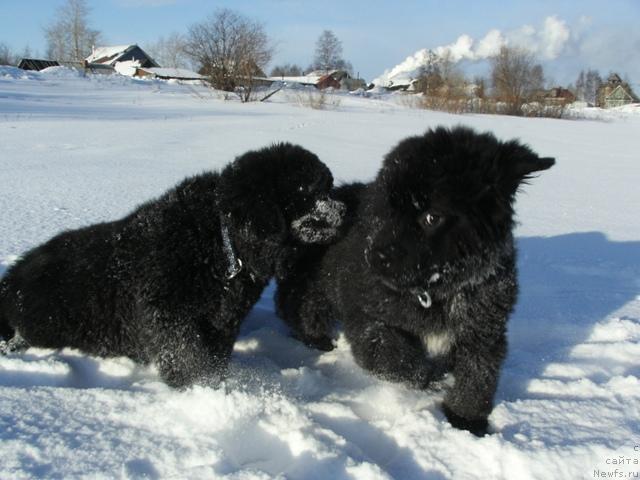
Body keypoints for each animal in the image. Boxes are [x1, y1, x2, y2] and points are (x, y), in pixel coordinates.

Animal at [0, 142, 344, 386]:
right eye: (313, 190)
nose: (343, 208)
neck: (221, 241)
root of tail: (11, 279)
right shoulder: (168, 313)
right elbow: (187, 355)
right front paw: (200, 389)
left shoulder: (223, 323)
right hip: (47, 319)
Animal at [278, 126, 552, 436]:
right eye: (388, 208)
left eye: (432, 216)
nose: (372, 257)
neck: (440, 290)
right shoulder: (368, 317)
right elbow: (395, 359)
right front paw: (430, 379)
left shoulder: (484, 330)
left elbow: (478, 378)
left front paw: (466, 420)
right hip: (311, 287)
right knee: (298, 308)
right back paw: (315, 338)